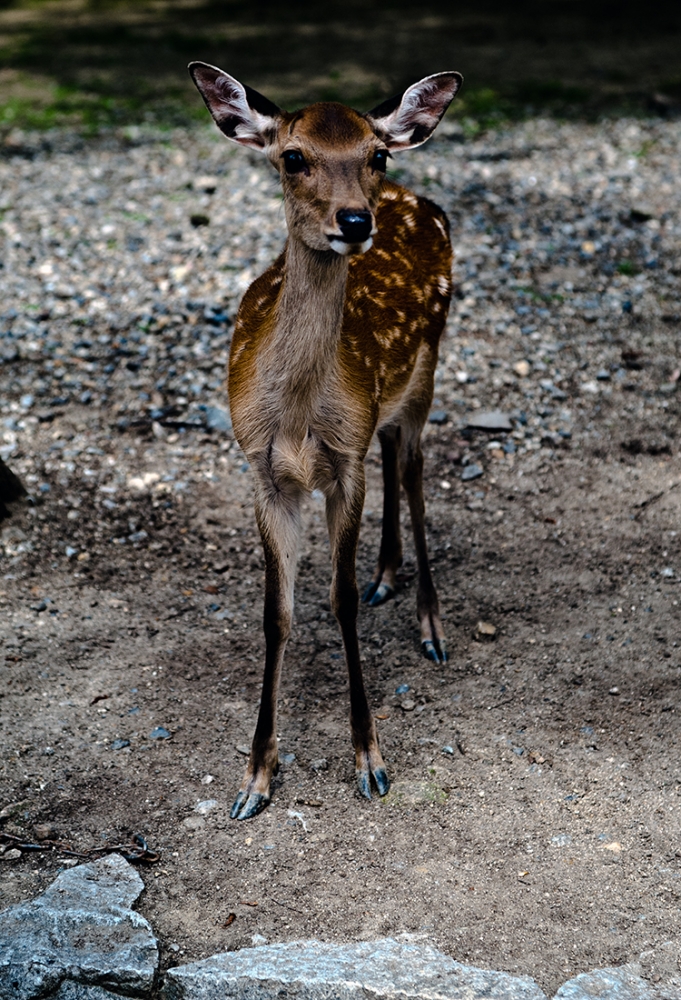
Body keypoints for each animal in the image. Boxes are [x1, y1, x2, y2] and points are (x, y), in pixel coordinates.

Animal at [190, 58, 462, 816]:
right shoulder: (263, 474)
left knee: (413, 468)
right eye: (292, 156)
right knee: (394, 457)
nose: (354, 220)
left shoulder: (342, 466)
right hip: (383, 409)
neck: (296, 422)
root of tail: (414, 198)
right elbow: (276, 614)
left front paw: (370, 760)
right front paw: (256, 776)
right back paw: (386, 575)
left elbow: (336, 602)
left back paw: (430, 623)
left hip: (426, 368)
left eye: (373, 154)